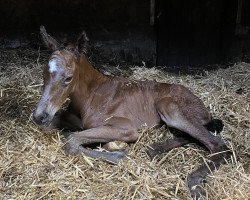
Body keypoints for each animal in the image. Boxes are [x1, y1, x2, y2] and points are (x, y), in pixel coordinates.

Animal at [32, 25, 230, 199]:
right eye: (43, 74)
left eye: (68, 78)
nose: (39, 116)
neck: (91, 96)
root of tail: (203, 106)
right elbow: (58, 128)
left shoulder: (127, 127)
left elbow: (71, 141)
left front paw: (119, 154)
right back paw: (154, 149)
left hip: (169, 107)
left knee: (218, 145)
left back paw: (194, 183)